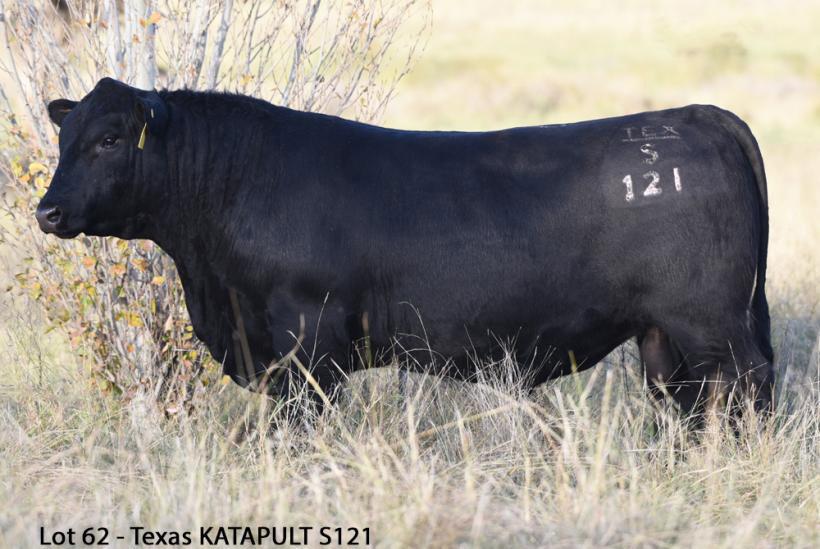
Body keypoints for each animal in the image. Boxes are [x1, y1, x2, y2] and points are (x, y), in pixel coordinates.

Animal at [37, 77, 774, 418]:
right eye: (64, 135)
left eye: (109, 138)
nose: (47, 211)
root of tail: (696, 115)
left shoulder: (308, 337)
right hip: (662, 335)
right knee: (686, 403)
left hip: (714, 324)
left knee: (747, 389)